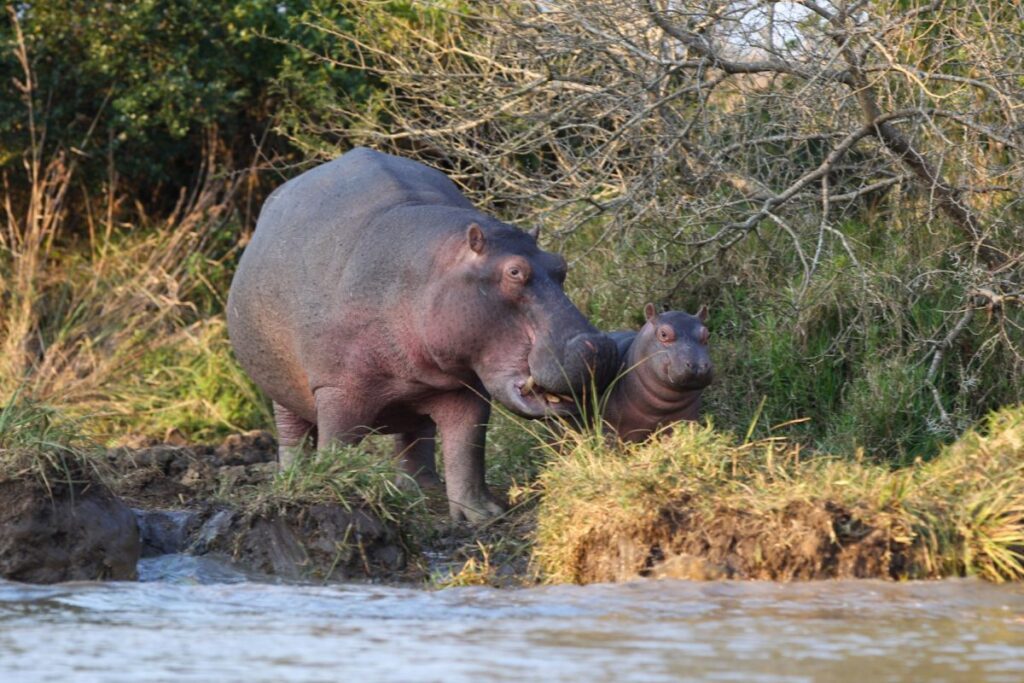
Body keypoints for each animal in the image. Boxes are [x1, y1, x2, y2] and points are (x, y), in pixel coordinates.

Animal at [227, 147, 618, 521]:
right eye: (515, 272)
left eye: (560, 264)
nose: (598, 346)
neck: (432, 268)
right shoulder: (337, 388)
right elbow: (336, 443)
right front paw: (334, 487)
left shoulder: (465, 386)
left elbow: (466, 448)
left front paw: (483, 516)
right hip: (280, 387)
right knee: (291, 433)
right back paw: (293, 478)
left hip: (418, 392)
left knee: (416, 438)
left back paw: (421, 488)